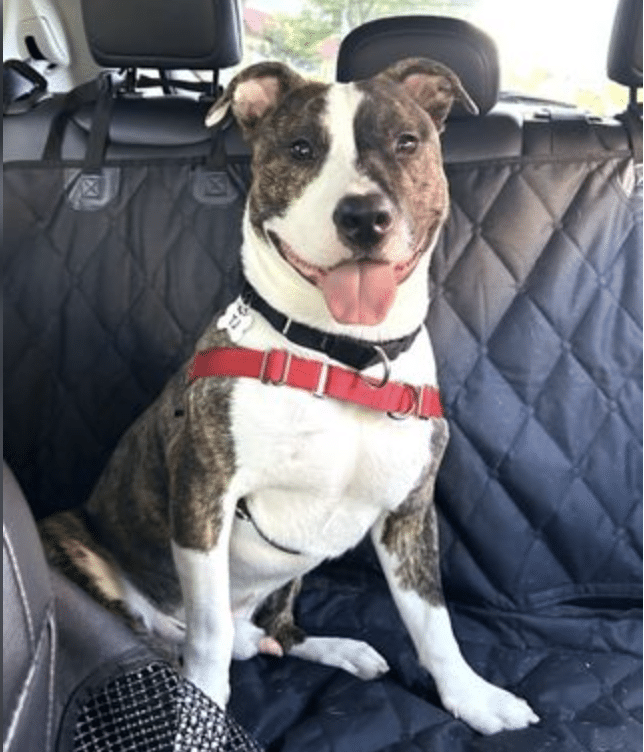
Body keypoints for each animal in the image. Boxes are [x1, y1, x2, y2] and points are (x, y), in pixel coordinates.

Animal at [40, 58, 540, 736]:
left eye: (406, 142)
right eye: (302, 148)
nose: (363, 217)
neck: (346, 357)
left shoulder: (410, 513)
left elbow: (433, 621)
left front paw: (473, 697)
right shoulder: (204, 498)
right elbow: (208, 637)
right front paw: (200, 718)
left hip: (293, 575)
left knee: (275, 628)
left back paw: (334, 647)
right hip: (71, 538)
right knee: (188, 636)